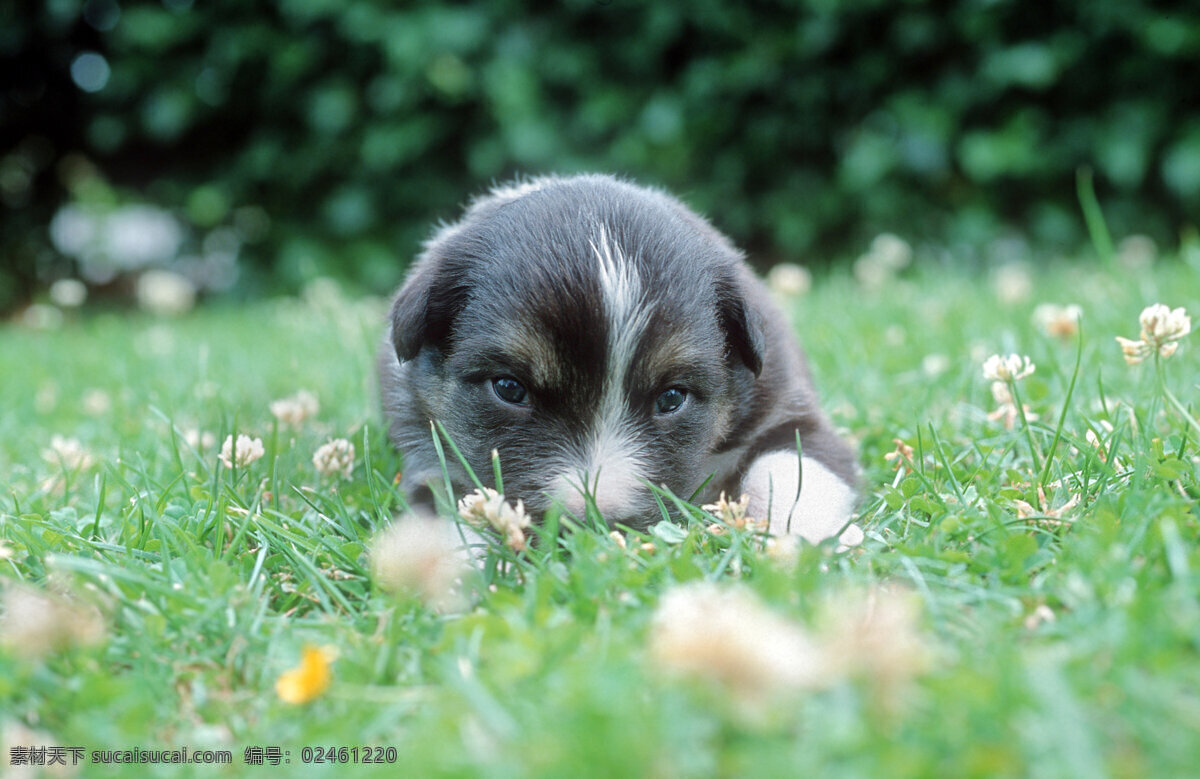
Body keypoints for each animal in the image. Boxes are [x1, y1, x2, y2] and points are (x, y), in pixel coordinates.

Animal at [379, 174, 859, 544]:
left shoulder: (788, 409)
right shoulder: (426, 448)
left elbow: (794, 468)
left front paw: (806, 541)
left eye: (672, 398)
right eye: (509, 388)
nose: (593, 523)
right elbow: (448, 509)